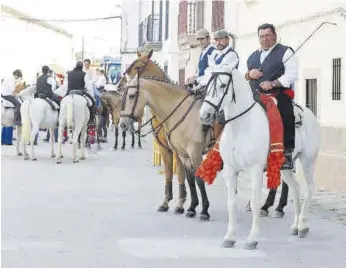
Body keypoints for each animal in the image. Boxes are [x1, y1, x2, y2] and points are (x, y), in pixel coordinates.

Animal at [120, 52, 215, 220]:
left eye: (137, 66)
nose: (123, 124)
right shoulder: (169, 150)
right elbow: (171, 175)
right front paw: (168, 203)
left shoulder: (190, 152)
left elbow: (188, 177)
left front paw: (184, 205)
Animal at [199, 65, 320, 249]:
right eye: (207, 85)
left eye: (222, 86)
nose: (204, 115)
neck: (241, 126)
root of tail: (310, 114)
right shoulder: (230, 170)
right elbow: (231, 202)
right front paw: (230, 237)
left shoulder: (255, 170)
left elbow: (255, 202)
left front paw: (252, 239)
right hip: (285, 169)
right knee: (295, 189)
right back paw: (295, 225)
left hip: (307, 161)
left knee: (309, 188)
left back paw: (303, 225)